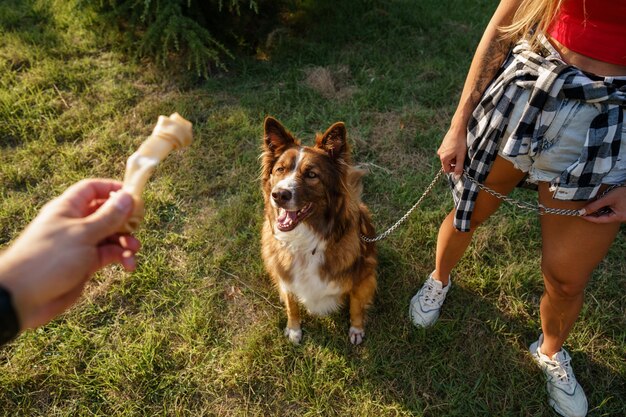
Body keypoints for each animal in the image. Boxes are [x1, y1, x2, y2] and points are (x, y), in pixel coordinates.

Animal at [258, 116, 376, 344]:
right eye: (280, 170)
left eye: (311, 174)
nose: (278, 195)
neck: (304, 241)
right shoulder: (285, 275)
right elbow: (291, 304)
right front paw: (294, 329)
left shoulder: (362, 275)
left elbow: (356, 305)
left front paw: (356, 329)